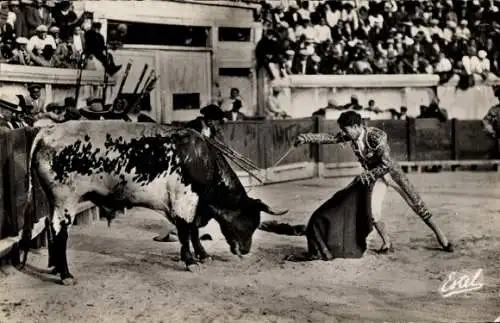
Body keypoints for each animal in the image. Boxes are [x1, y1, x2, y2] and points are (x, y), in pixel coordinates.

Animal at [19, 121, 288, 286]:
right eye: (249, 221)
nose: (245, 250)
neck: (202, 160)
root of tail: (47, 131)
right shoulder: (184, 201)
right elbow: (186, 231)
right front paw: (191, 261)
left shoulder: (192, 205)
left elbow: (193, 232)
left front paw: (201, 255)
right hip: (65, 202)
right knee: (60, 233)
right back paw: (66, 274)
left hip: (54, 203)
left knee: (50, 228)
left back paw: (55, 268)